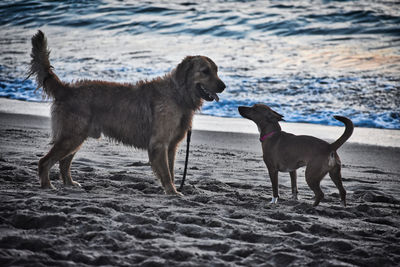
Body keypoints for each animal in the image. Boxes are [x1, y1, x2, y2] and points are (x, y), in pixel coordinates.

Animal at [28, 30, 227, 196]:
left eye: (217, 71)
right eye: (205, 71)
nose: (224, 86)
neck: (179, 94)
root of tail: (66, 89)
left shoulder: (171, 147)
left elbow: (170, 171)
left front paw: (171, 190)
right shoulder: (159, 144)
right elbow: (166, 173)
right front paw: (172, 192)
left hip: (76, 137)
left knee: (63, 162)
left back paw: (69, 183)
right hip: (71, 136)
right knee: (45, 161)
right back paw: (47, 186)